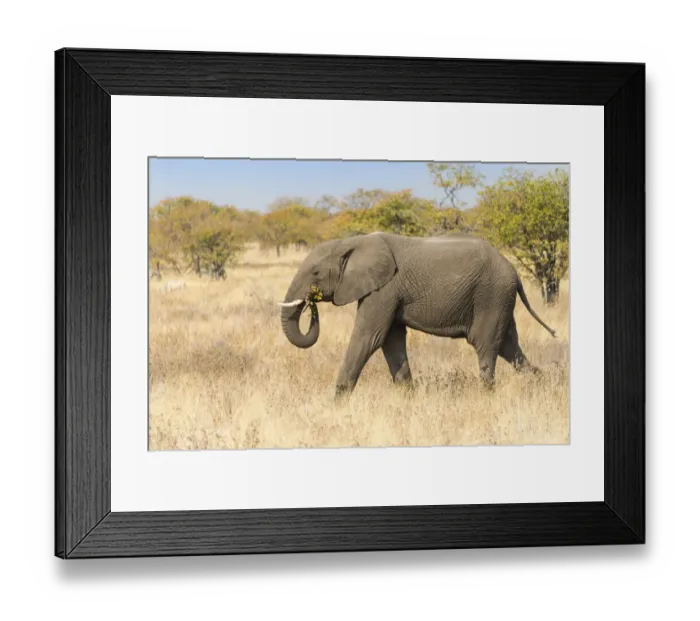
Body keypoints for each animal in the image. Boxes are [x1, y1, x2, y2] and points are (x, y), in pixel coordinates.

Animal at [278, 232, 556, 398]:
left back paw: (486, 396)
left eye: (315, 273)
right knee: (510, 347)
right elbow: (390, 340)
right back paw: (543, 386)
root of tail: (514, 272)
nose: (310, 301)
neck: (352, 241)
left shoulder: (385, 288)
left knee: (486, 345)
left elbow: (369, 337)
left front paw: (337, 402)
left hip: (491, 295)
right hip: (499, 299)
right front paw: (407, 398)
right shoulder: (385, 291)